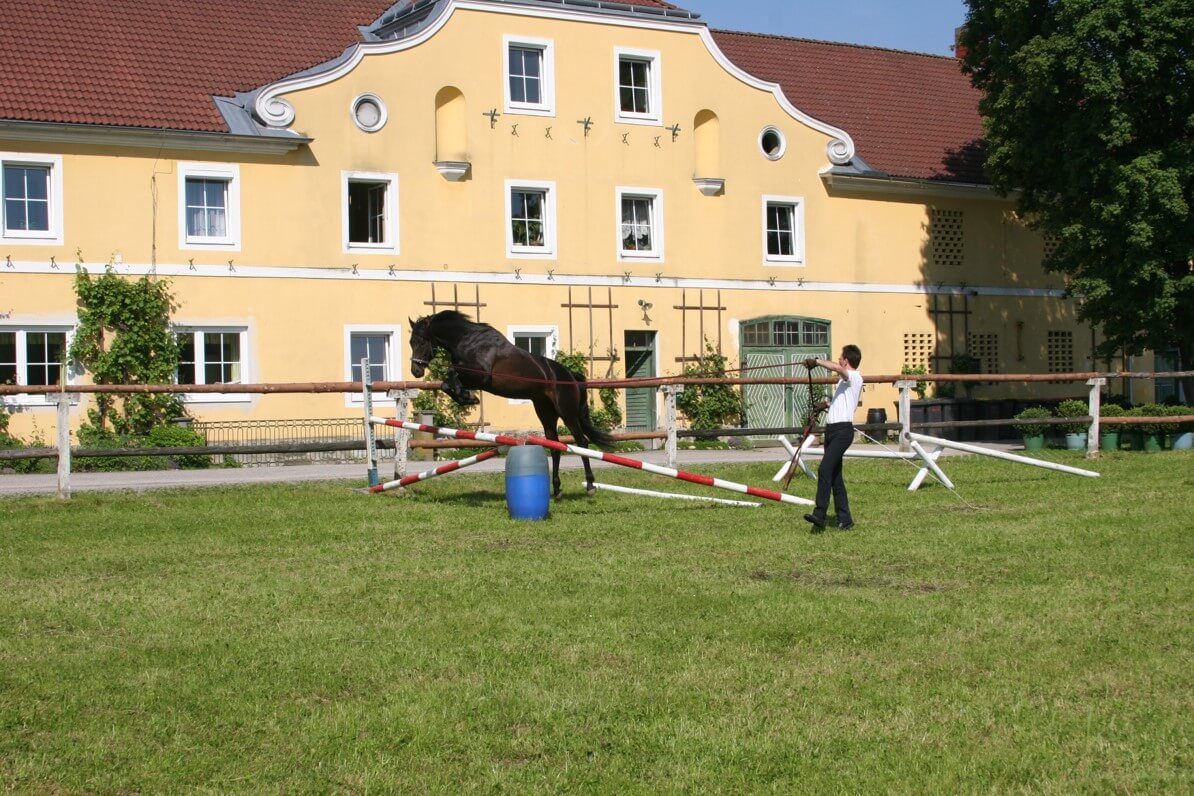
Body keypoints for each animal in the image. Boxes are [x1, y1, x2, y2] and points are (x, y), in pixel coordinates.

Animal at [408, 310, 616, 498]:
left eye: (421, 341)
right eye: (411, 342)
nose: (416, 371)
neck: (468, 340)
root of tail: (571, 376)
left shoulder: (481, 375)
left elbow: (451, 372)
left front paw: (468, 397)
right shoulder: (473, 378)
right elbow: (447, 383)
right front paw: (465, 397)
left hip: (567, 413)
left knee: (582, 442)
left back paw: (590, 485)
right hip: (545, 413)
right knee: (555, 446)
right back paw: (557, 490)